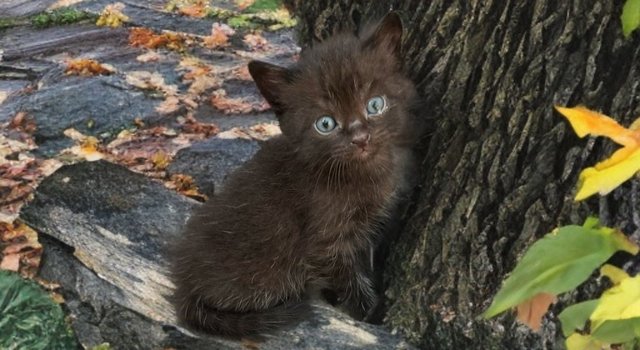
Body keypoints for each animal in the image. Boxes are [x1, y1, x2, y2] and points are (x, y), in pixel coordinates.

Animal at [170, 12, 418, 338]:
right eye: (325, 124)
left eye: (375, 105)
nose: (360, 138)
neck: (361, 173)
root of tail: (184, 286)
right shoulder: (325, 241)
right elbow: (346, 275)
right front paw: (367, 312)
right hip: (266, 272)